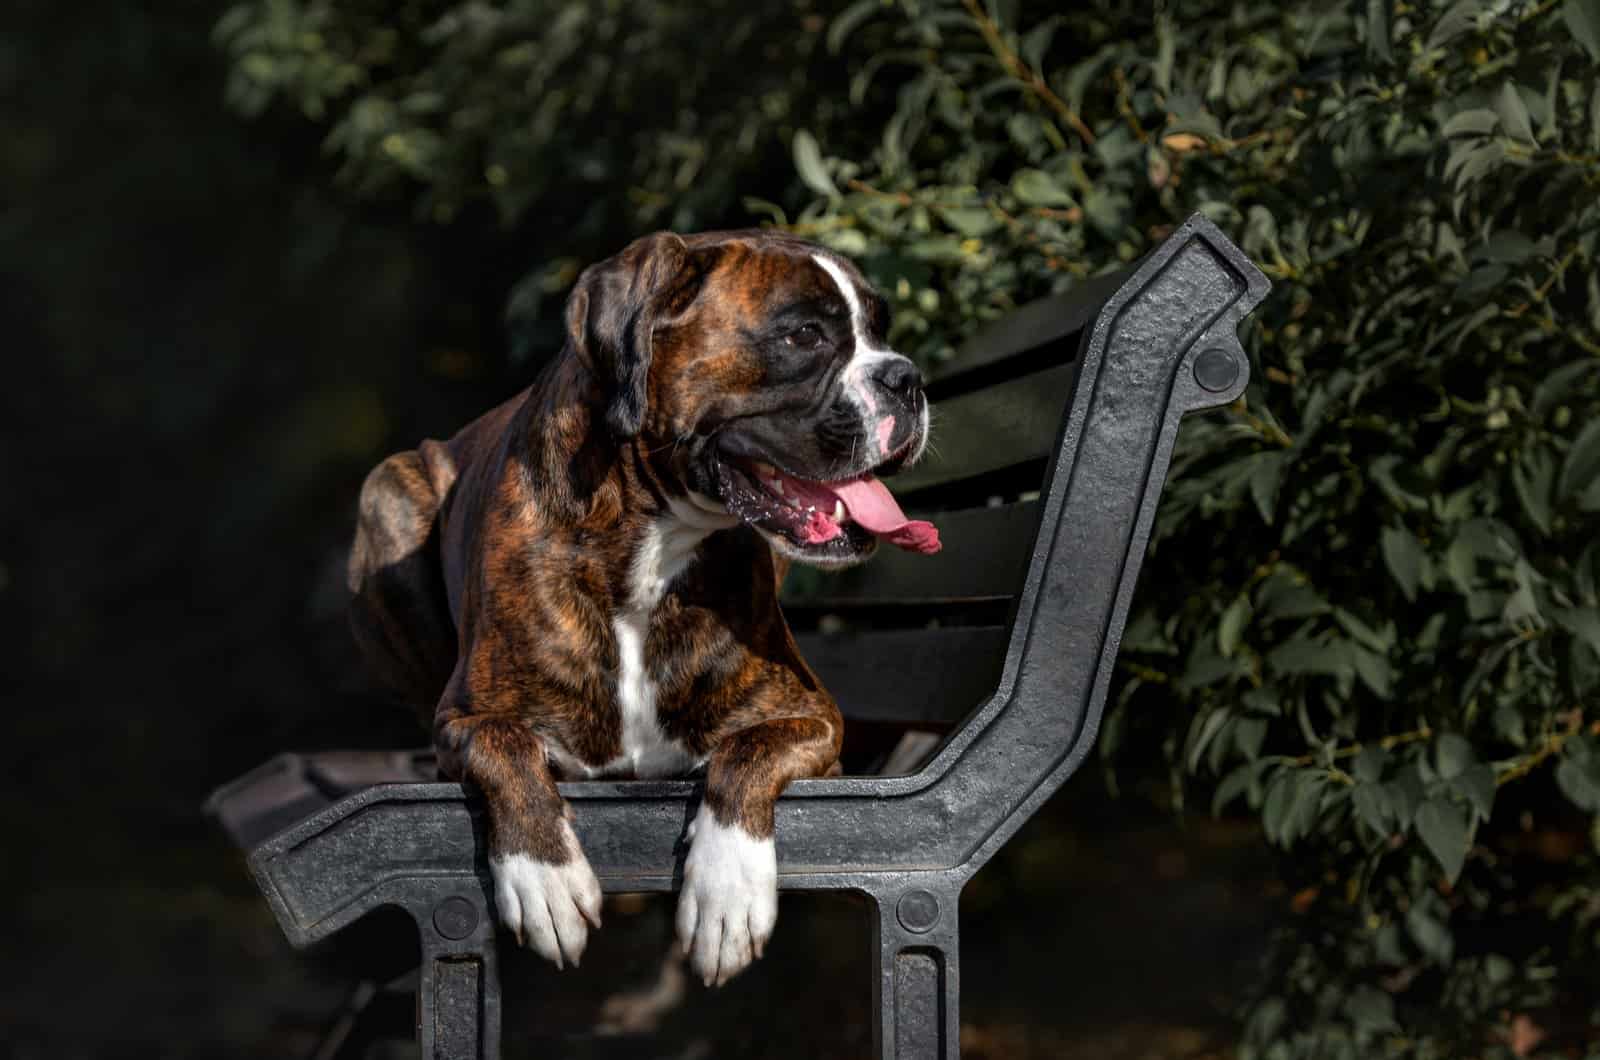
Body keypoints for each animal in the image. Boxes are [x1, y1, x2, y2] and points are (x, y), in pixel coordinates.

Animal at [344, 230, 934, 986]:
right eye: (802, 335)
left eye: (880, 329)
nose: (907, 379)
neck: (650, 551)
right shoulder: (464, 717)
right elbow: (504, 743)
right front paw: (543, 875)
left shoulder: (814, 721)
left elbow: (750, 748)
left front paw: (727, 891)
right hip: (387, 489)